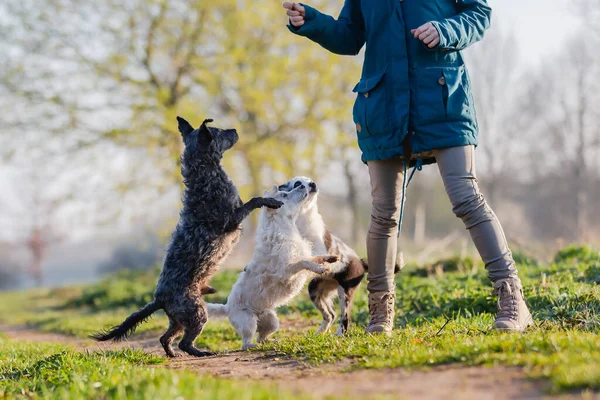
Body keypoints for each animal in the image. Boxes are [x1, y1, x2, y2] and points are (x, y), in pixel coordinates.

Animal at [90, 117, 282, 358]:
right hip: (197, 313)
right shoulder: (232, 218)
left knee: (165, 337)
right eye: (218, 131)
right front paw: (273, 201)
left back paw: (172, 354)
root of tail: (159, 299)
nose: (235, 129)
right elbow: (255, 200)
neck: (205, 174)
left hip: (179, 320)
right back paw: (201, 353)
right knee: (184, 342)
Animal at [207, 183, 338, 348]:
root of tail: (227, 307)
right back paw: (253, 346)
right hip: (248, 320)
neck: (284, 228)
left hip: (271, 320)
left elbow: (314, 258)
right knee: (246, 341)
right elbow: (304, 262)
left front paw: (329, 258)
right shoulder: (285, 271)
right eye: (284, 195)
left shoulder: (302, 258)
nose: (303, 185)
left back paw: (272, 341)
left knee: (262, 337)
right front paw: (320, 268)